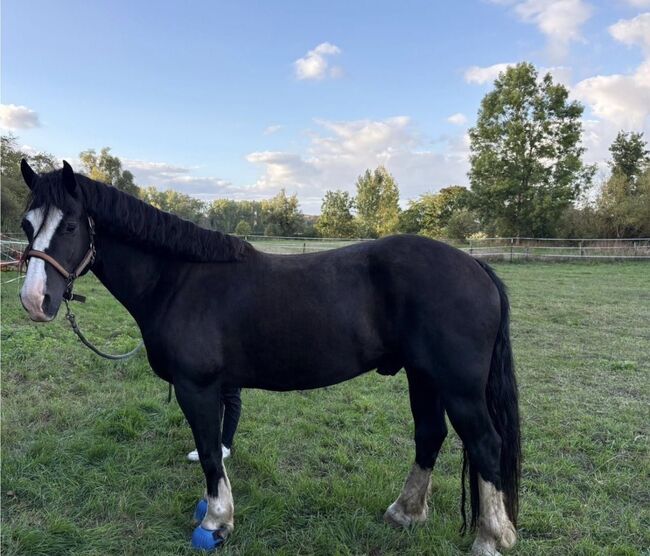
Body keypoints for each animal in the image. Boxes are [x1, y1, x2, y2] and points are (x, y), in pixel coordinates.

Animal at [18, 160, 521, 555]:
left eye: (69, 225)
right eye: (27, 224)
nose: (35, 300)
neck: (178, 280)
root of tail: (475, 266)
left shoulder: (197, 387)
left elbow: (209, 452)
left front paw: (216, 522)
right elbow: (215, 449)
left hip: (458, 387)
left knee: (485, 444)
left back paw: (491, 538)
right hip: (423, 377)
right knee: (430, 435)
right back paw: (405, 513)